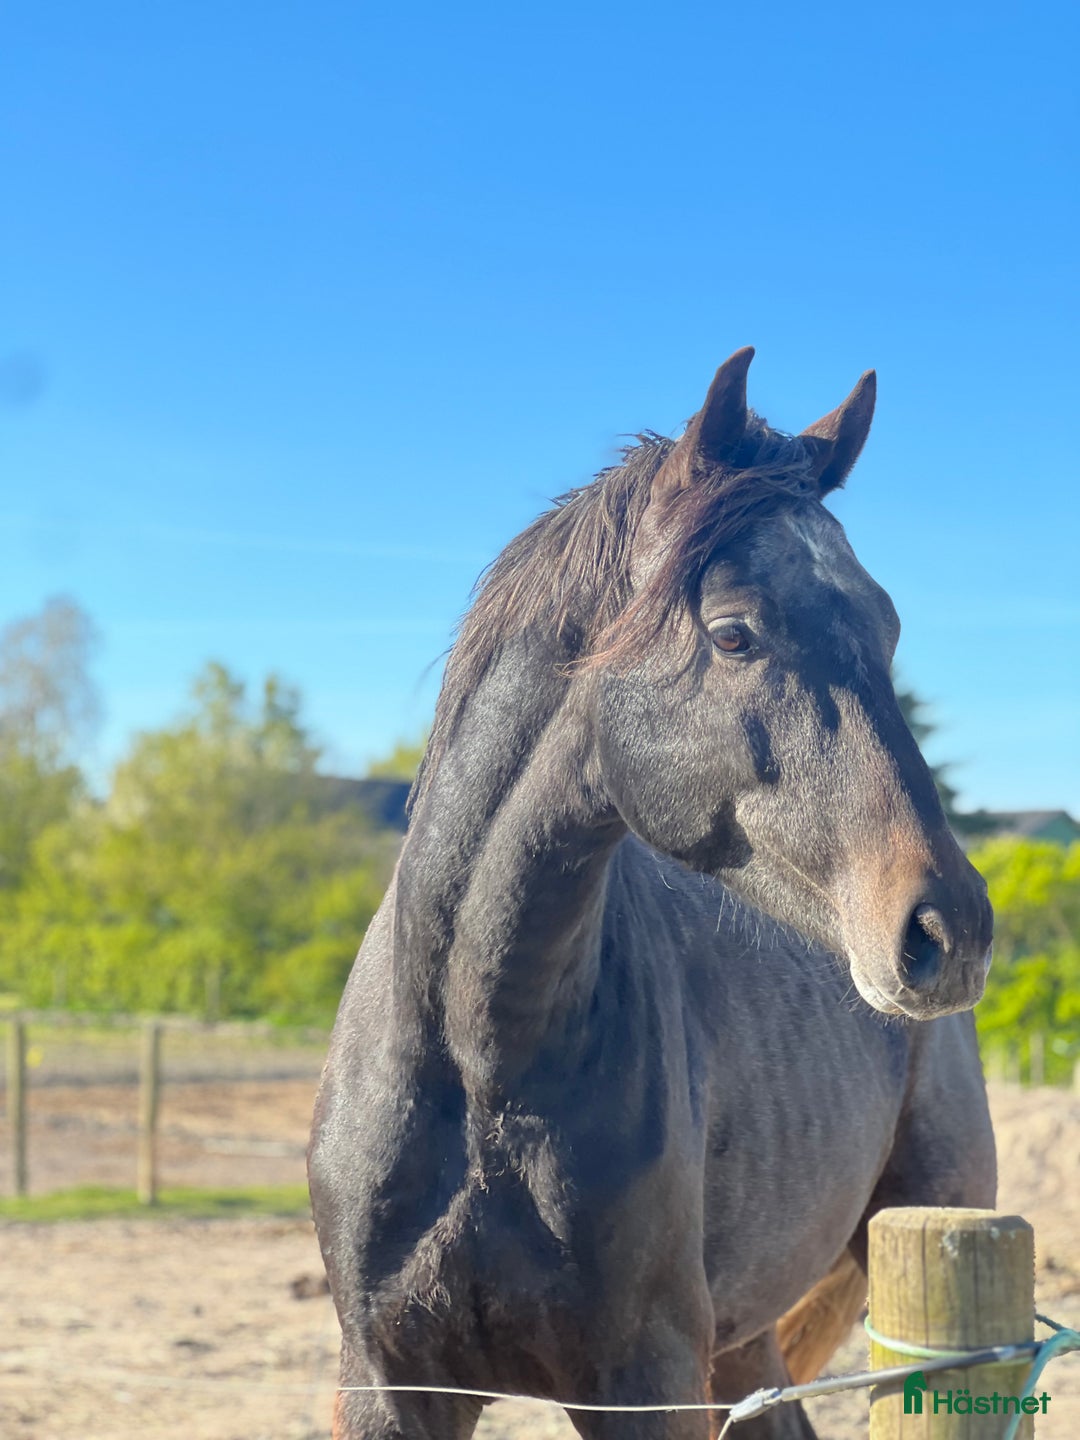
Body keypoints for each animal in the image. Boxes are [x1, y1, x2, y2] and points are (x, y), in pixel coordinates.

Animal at [308, 348, 996, 1440]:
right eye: (734, 634)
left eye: (886, 627)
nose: (949, 929)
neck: (476, 1065)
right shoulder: (388, 1380)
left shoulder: (644, 1378)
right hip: (743, 1340)